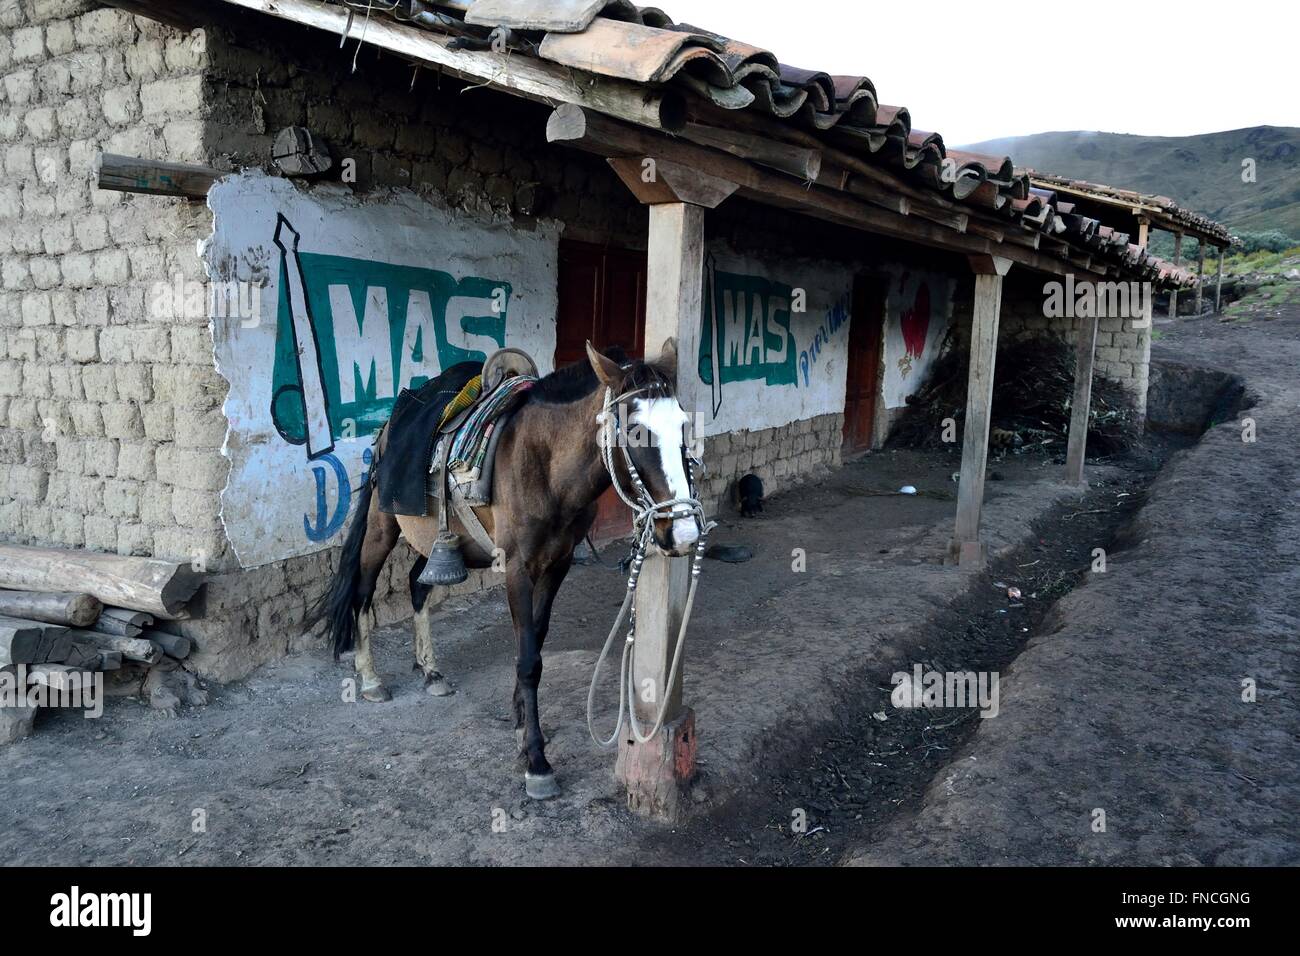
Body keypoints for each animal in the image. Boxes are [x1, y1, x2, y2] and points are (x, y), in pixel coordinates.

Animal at [308, 339, 703, 799]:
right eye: (633, 432)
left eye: (682, 426)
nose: (685, 532)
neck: (545, 466)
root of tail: (390, 424)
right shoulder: (517, 568)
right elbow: (529, 658)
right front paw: (536, 760)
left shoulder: (557, 565)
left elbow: (535, 641)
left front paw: (519, 725)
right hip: (381, 527)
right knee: (363, 592)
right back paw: (370, 679)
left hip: (439, 539)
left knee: (418, 586)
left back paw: (431, 670)